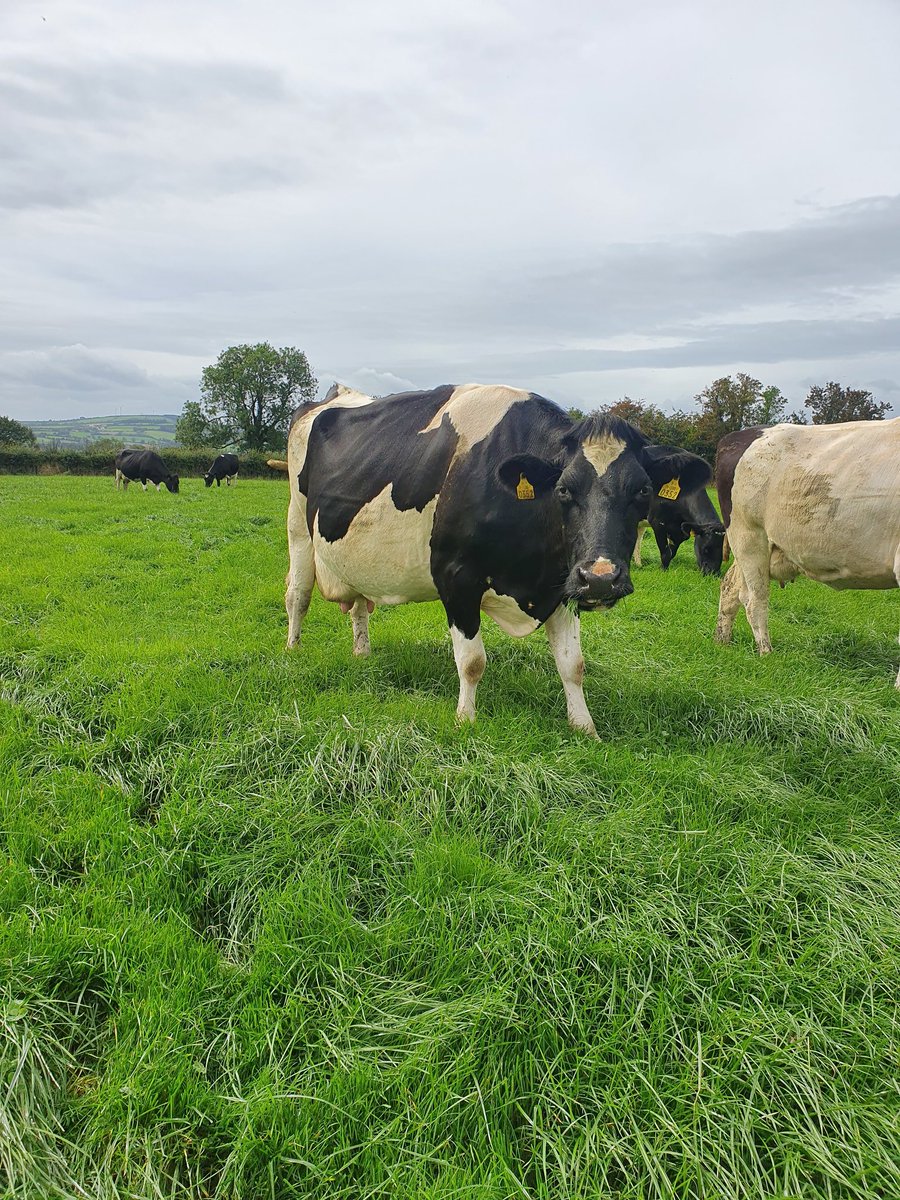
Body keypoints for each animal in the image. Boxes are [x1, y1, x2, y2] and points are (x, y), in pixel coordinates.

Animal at [285, 382, 712, 733]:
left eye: (643, 491)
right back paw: (293, 650)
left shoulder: (564, 584)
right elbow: (472, 661)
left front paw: (585, 727)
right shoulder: (456, 578)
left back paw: (362, 654)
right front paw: (465, 720)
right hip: (297, 526)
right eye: (563, 490)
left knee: (359, 603)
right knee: (297, 595)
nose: (602, 577)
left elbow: (573, 665)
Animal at [714, 418, 900, 686]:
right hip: (749, 536)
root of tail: (741, 435)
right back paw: (766, 653)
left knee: (730, 586)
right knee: (754, 599)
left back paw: (722, 642)